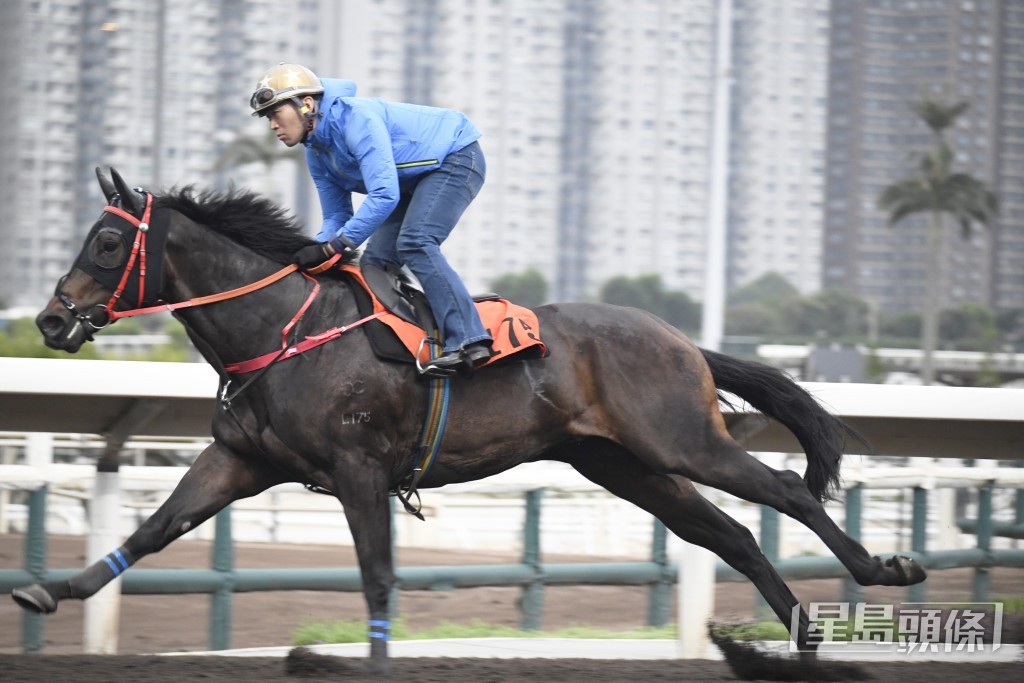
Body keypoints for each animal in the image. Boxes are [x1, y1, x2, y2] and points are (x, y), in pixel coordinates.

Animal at [14, 167, 926, 675]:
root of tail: (680, 338)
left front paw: (368, 663)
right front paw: (50, 588)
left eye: (105, 243)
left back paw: (883, 570)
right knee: (729, 534)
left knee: (785, 491)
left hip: (682, 440)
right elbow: (156, 527)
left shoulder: (359, 468)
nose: (52, 321)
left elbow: (378, 573)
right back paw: (799, 643)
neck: (281, 327)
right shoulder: (242, 458)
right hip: (627, 465)